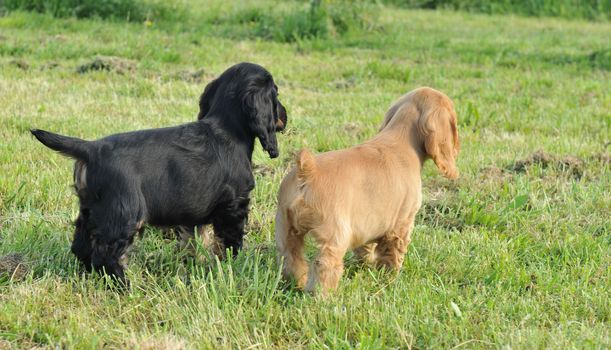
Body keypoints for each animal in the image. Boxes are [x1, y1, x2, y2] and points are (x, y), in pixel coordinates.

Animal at [32, 62, 290, 282]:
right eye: (276, 93)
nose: (286, 116)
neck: (227, 129)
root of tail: (91, 149)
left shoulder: (192, 215)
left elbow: (193, 241)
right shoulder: (234, 204)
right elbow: (229, 243)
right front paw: (230, 267)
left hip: (90, 209)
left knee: (81, 246)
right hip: (123, 211)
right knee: (107, 254)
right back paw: (124, 286)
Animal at [276, 87, 460, 292]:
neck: (400, 138)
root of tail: (307, 171)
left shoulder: (366, 223)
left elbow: (365, 247)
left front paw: (367, 264)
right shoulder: (401, 223)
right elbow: (393, 254)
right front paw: (390, 279)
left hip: (285, 226)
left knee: (290, 257)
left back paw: (296, 283)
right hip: (334, 233)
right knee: (324, 265)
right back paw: (322, 295)